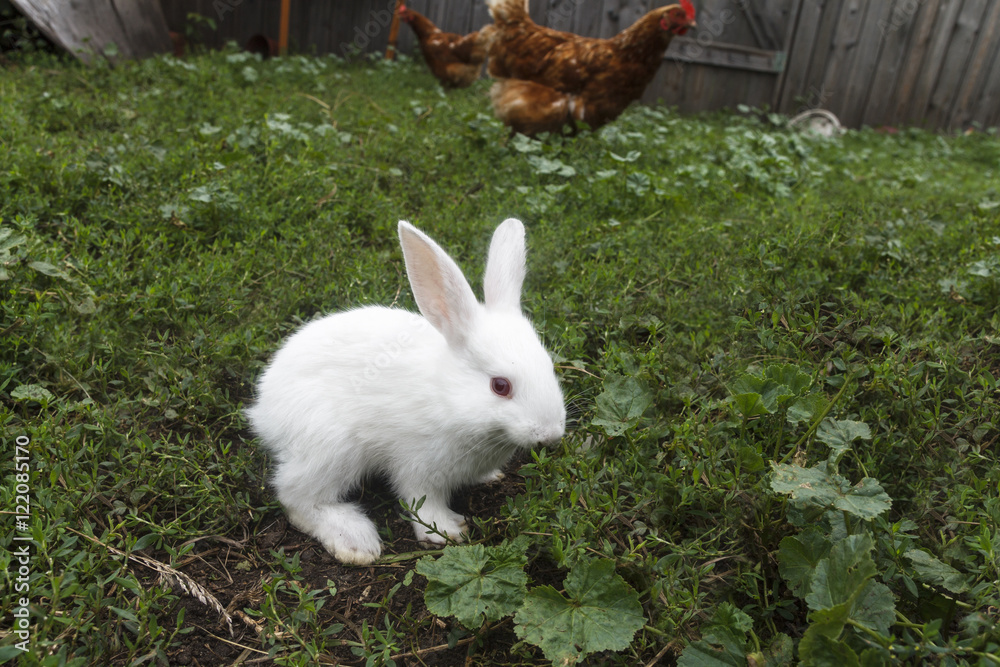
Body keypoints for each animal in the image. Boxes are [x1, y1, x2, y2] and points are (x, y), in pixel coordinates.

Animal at [246, 219, 568, 564]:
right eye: (500, 386)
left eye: (549, 365)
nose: (551, 434)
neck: (446, 394)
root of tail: (263, 409)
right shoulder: (418, 464)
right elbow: (421, 502)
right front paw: (447, 531)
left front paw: (490, 477)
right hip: (331, 448)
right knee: (297, 498)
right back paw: (356, 541)